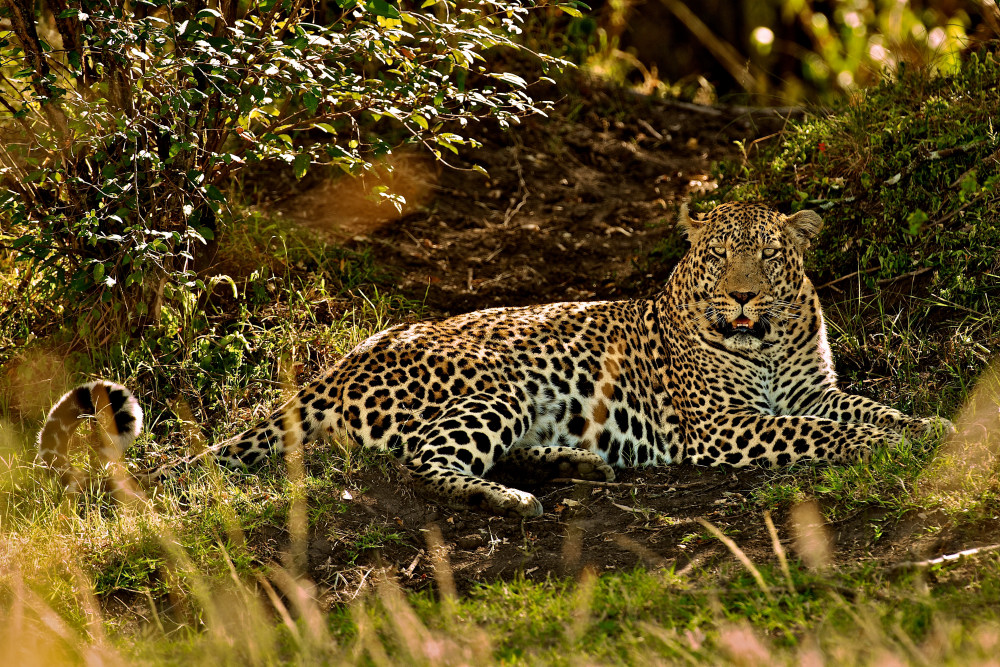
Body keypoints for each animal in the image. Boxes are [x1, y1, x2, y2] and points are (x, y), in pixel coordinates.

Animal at [37, 202, 953, 515]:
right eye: (718, 255)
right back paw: (511, 496)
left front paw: (928, 424)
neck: (763, 345)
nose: (739, 297)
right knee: (426, 461)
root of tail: (337, 365)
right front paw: (889, 440)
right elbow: (820, 435)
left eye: (767, 256)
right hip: (497, 376)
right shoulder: (721, 426)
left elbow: (860, 408)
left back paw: (579, 464)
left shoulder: (811, 390)